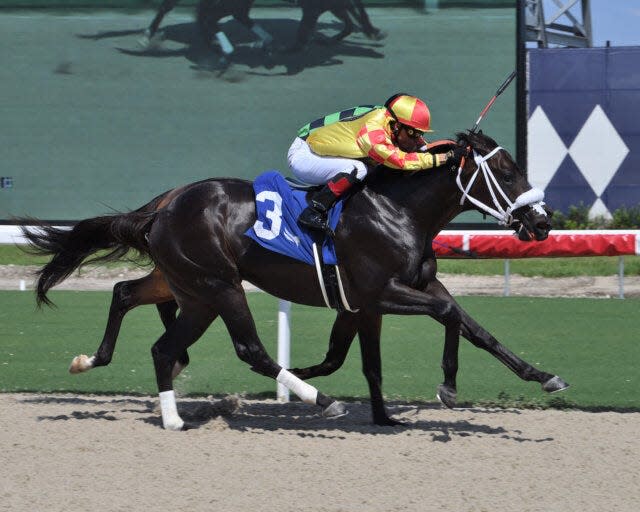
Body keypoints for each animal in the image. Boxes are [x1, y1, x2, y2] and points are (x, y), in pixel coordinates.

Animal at [21, 130, 568, 430]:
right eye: (506, 171)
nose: (542, 223)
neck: (399, 211)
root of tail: (166, 204)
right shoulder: (381, 292)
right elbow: (449, 315)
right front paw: (448, 387)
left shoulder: (389, 297)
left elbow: (470, 331)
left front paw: (544, 376)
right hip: (219, 286)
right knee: (249, 350)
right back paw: (317, 401)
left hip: (186, 286)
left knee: (135, 309)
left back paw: (138, 391)